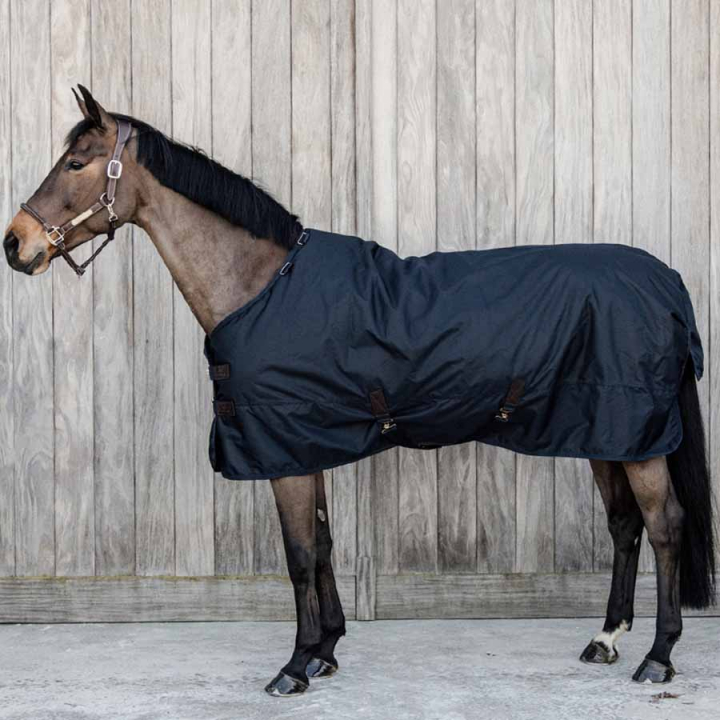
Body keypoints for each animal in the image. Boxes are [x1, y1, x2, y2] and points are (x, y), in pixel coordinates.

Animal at [4, 86, 715, 696]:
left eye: (75, 163)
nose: (17, 243)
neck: (262, 285)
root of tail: (667, 281)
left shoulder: (283, 453)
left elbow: (296, 555)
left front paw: (293, 666)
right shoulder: (302, 445)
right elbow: (322, 545)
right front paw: (326, 651)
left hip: (637, 439)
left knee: (665, 528)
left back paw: (658, 657)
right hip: (605, 433)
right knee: (625, 526)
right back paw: (606, 639)